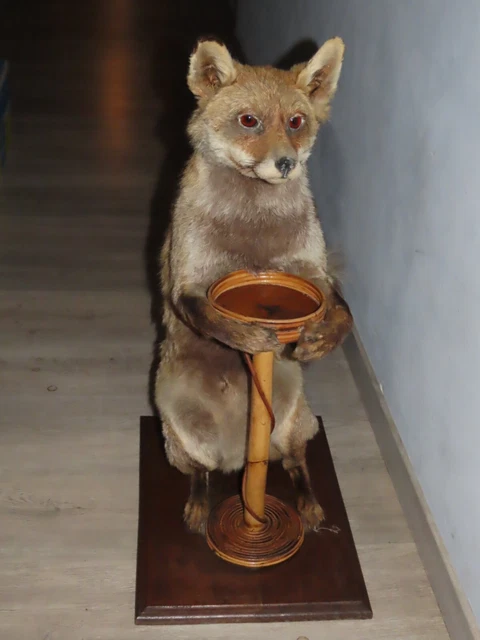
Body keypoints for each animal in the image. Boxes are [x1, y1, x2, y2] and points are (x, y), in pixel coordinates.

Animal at [155, 37, 353, 534]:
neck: (253, 231)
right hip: (180, 434)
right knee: (202, 474)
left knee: (295, 463)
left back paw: (308, 505)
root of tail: (235, 455)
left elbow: (339, 305)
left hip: (291, 421)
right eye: (249, 121)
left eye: (296, 122)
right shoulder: (187, 278)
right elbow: (206, 313)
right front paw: (247, 336)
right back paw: (200, 506)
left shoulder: (310, 271)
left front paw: (326, 337)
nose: (285, 163)